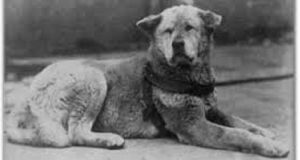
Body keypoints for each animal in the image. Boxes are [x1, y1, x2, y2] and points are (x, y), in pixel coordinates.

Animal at [4, 4, 290, 158]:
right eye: (167, 31)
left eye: (190, 27)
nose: (177, 44)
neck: (184, 74)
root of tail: (28, 93)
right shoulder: (193, 125)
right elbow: (235, 133)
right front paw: (269, 146)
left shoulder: (210, 109)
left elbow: (237, 120)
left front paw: (263, 131)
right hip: (93, 79)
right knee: (76, 133)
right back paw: (108, 139)